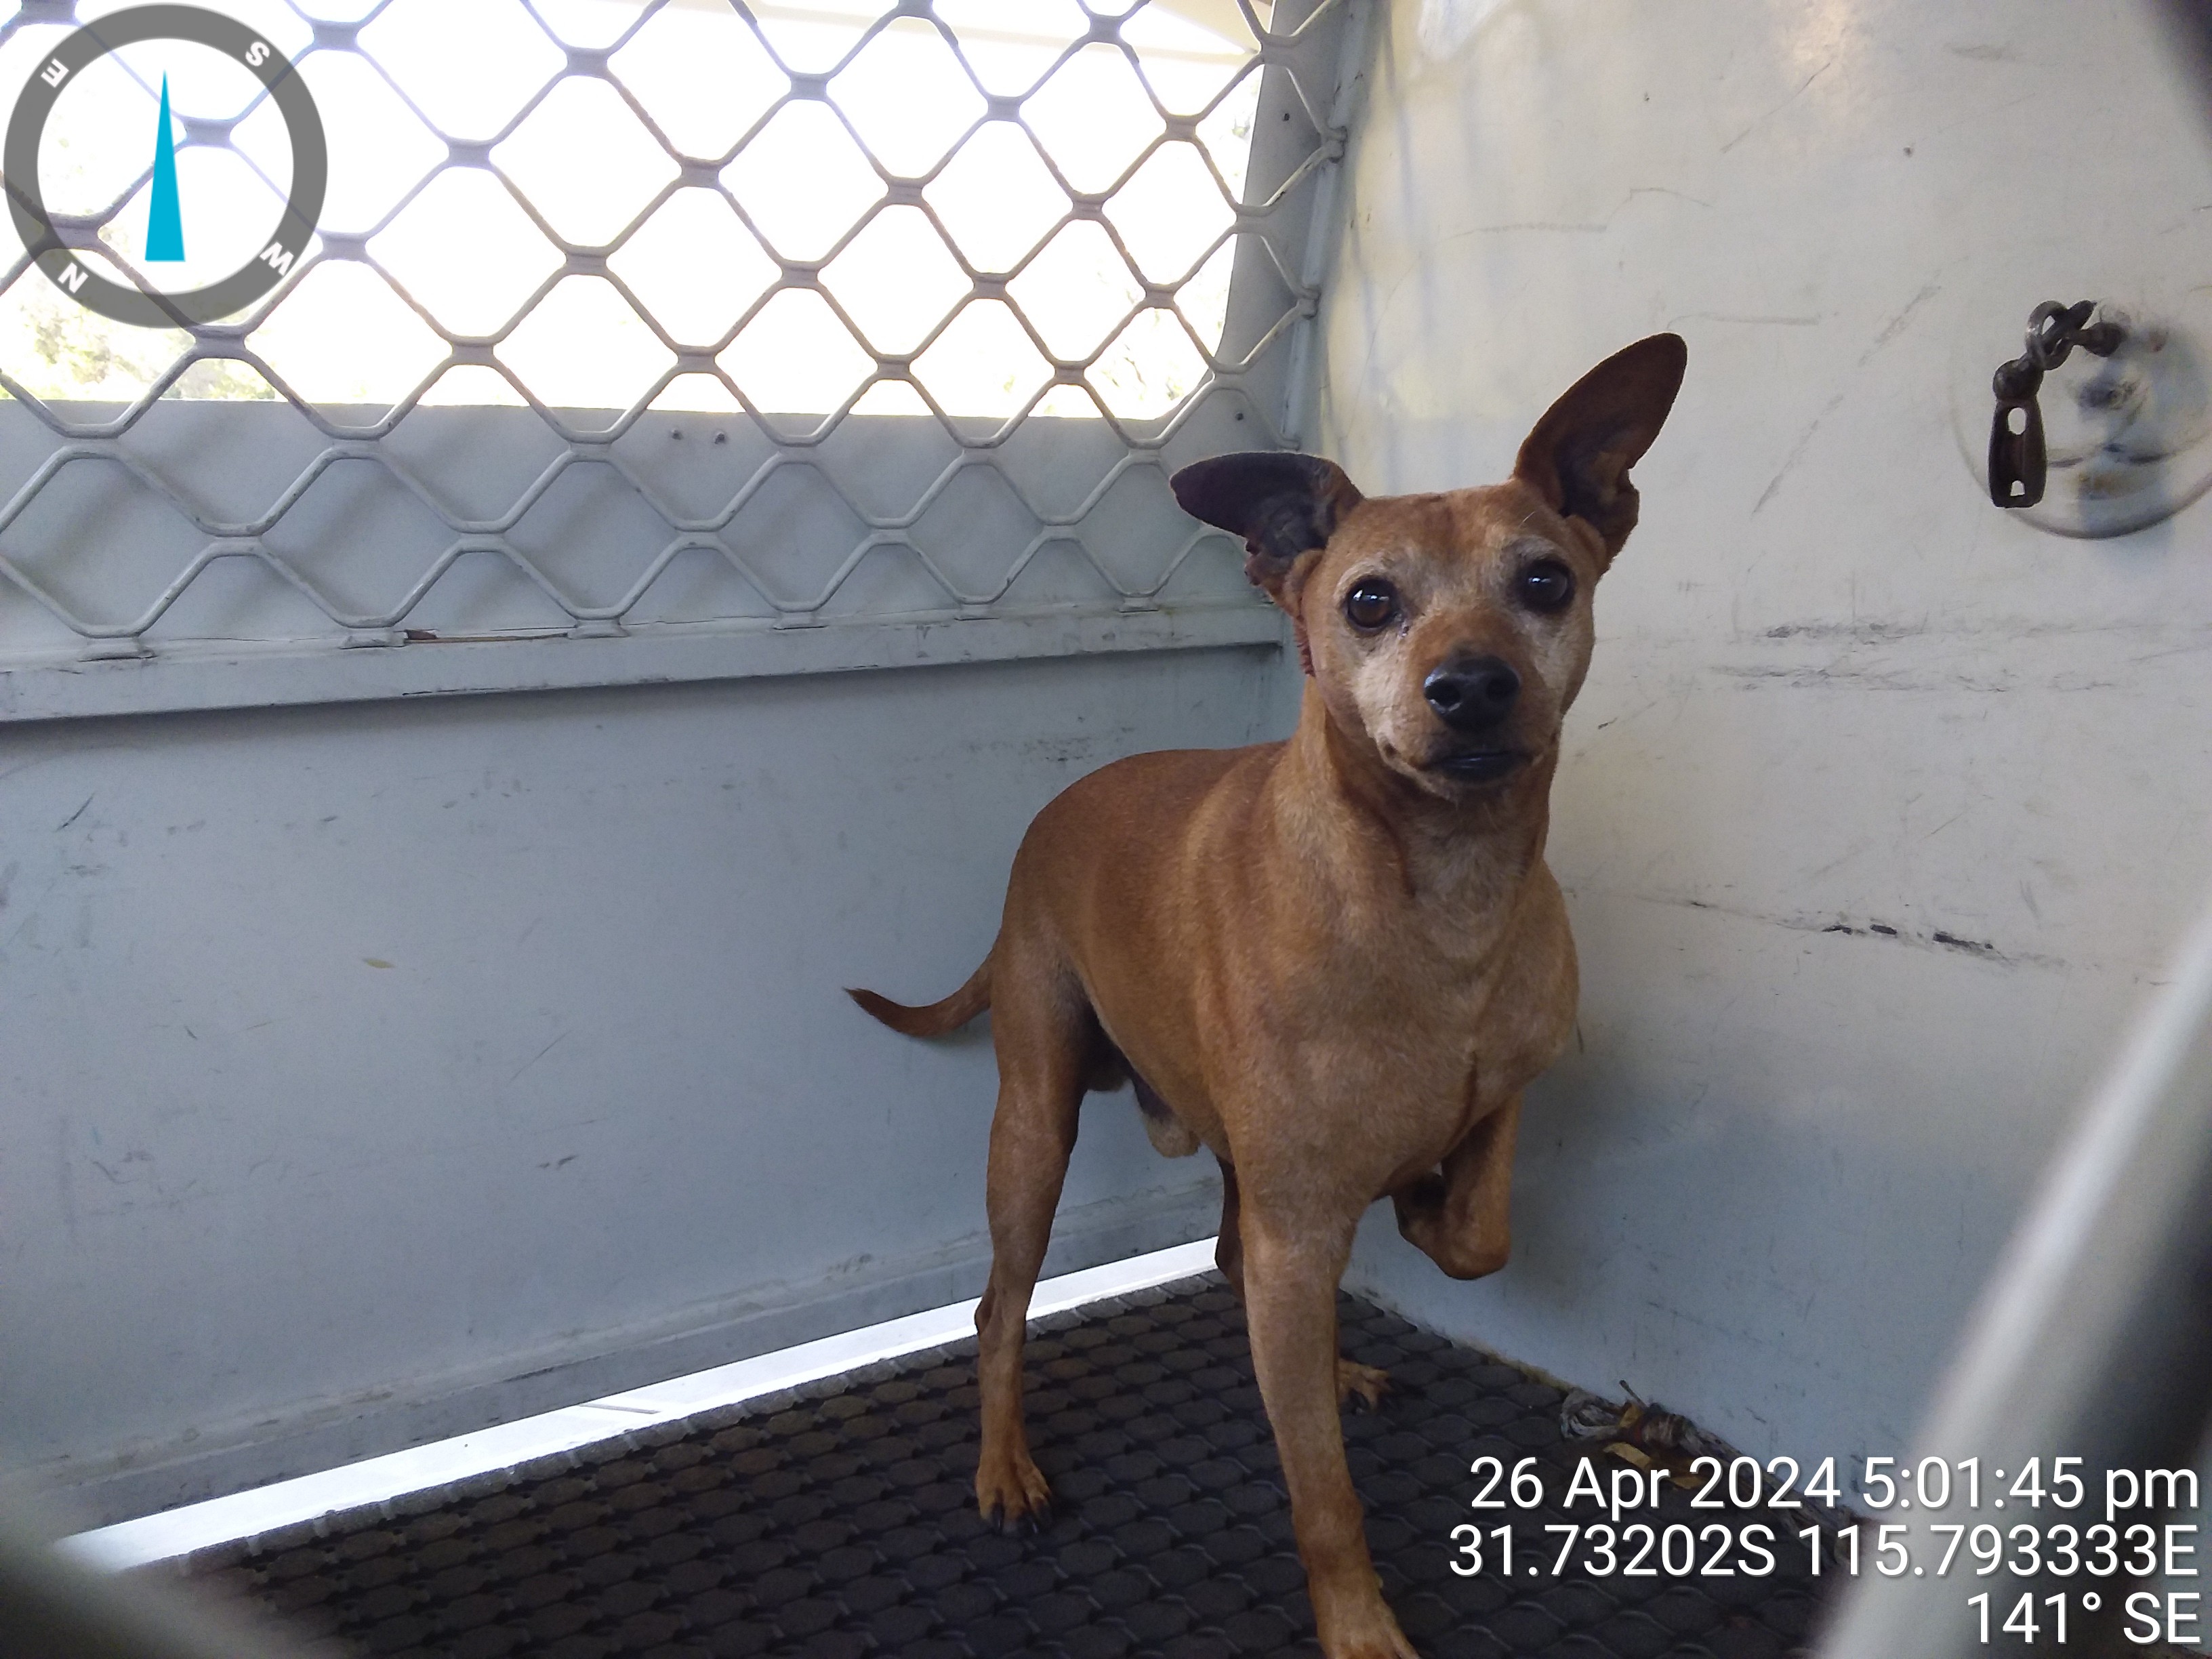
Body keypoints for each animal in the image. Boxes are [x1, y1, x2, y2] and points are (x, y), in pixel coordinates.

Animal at [853, 338, 1681, 1659]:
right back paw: (1006, 1466)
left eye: (1545, 581)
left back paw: (1330, 1355)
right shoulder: (1300, 1227)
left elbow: (1479, 1232)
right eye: (1368, 602)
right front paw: (1358, 1624)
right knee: (999, 1311)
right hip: (1032, 1128)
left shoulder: (1504, 1092)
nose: (1471, 686)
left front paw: (1424, 1207)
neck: (1442, 898)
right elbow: (1322, 1488)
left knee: (1228, 1260)